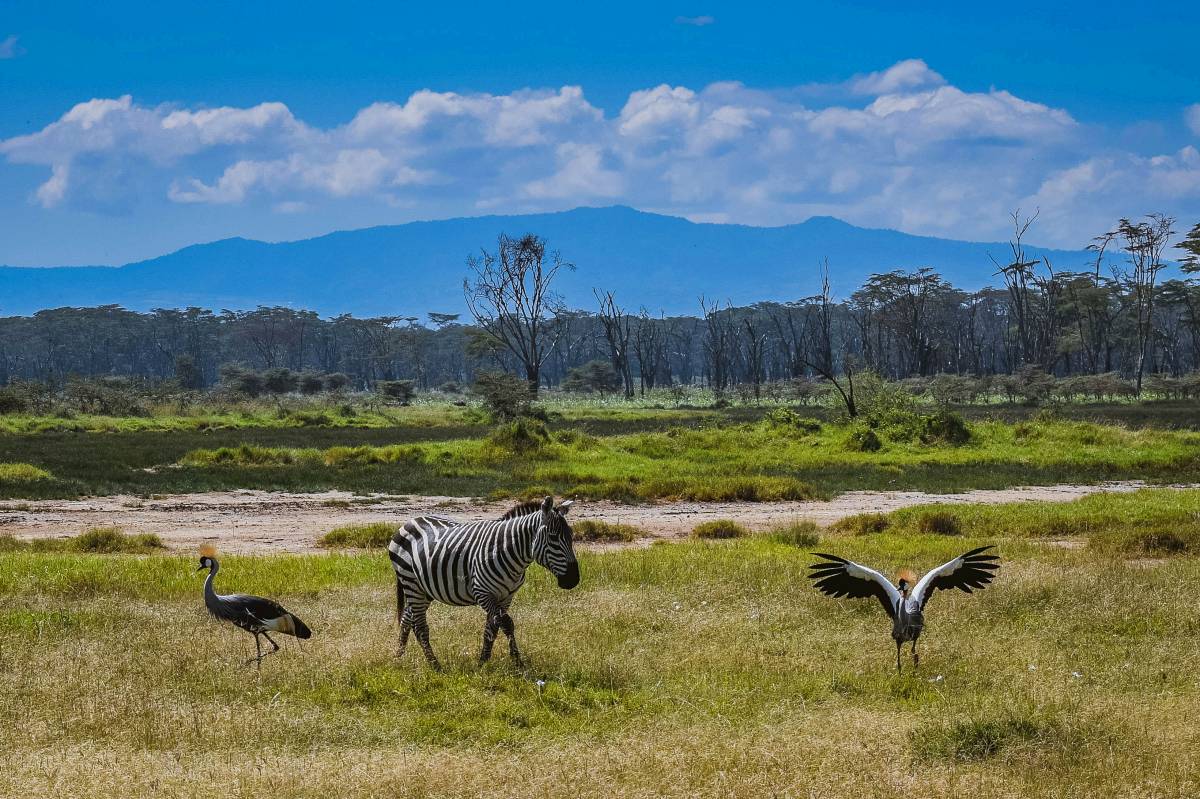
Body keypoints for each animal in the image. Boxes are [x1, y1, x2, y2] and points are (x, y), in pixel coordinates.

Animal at [387, 495, 580, 669]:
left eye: (571, 536)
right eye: (553, 537)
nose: (574, 580)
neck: (509, 551)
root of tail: (410, 521)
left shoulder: (506, 596)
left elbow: (492, 628)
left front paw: (483, 662)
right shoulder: (483, 593)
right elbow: (507, 624)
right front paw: (518, 662)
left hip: (423, 588)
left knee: (407, 618)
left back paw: (398, 656)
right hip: (410, 582)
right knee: (420, 627)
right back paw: (435, 666)